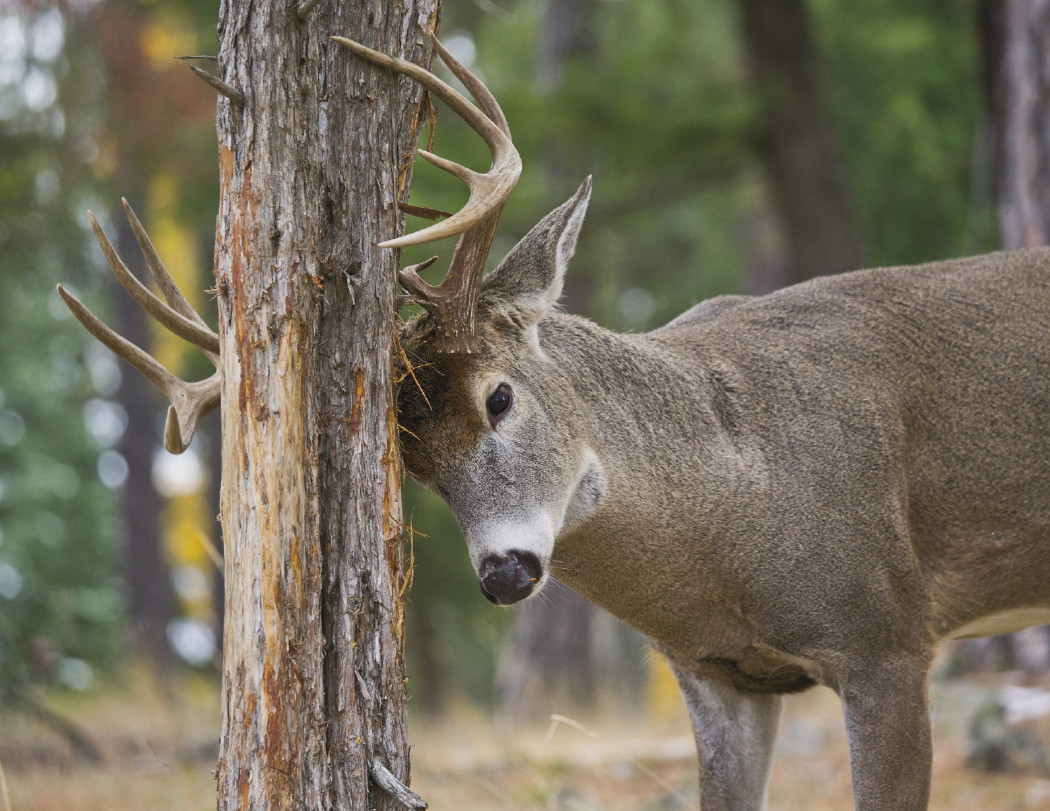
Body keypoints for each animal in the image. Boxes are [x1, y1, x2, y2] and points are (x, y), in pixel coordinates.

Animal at [60, 32, 1050, 811]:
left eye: (498, 396)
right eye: (412, 462)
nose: (504, 571)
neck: (743, 504)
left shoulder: (886, 637)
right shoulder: (715, 674)